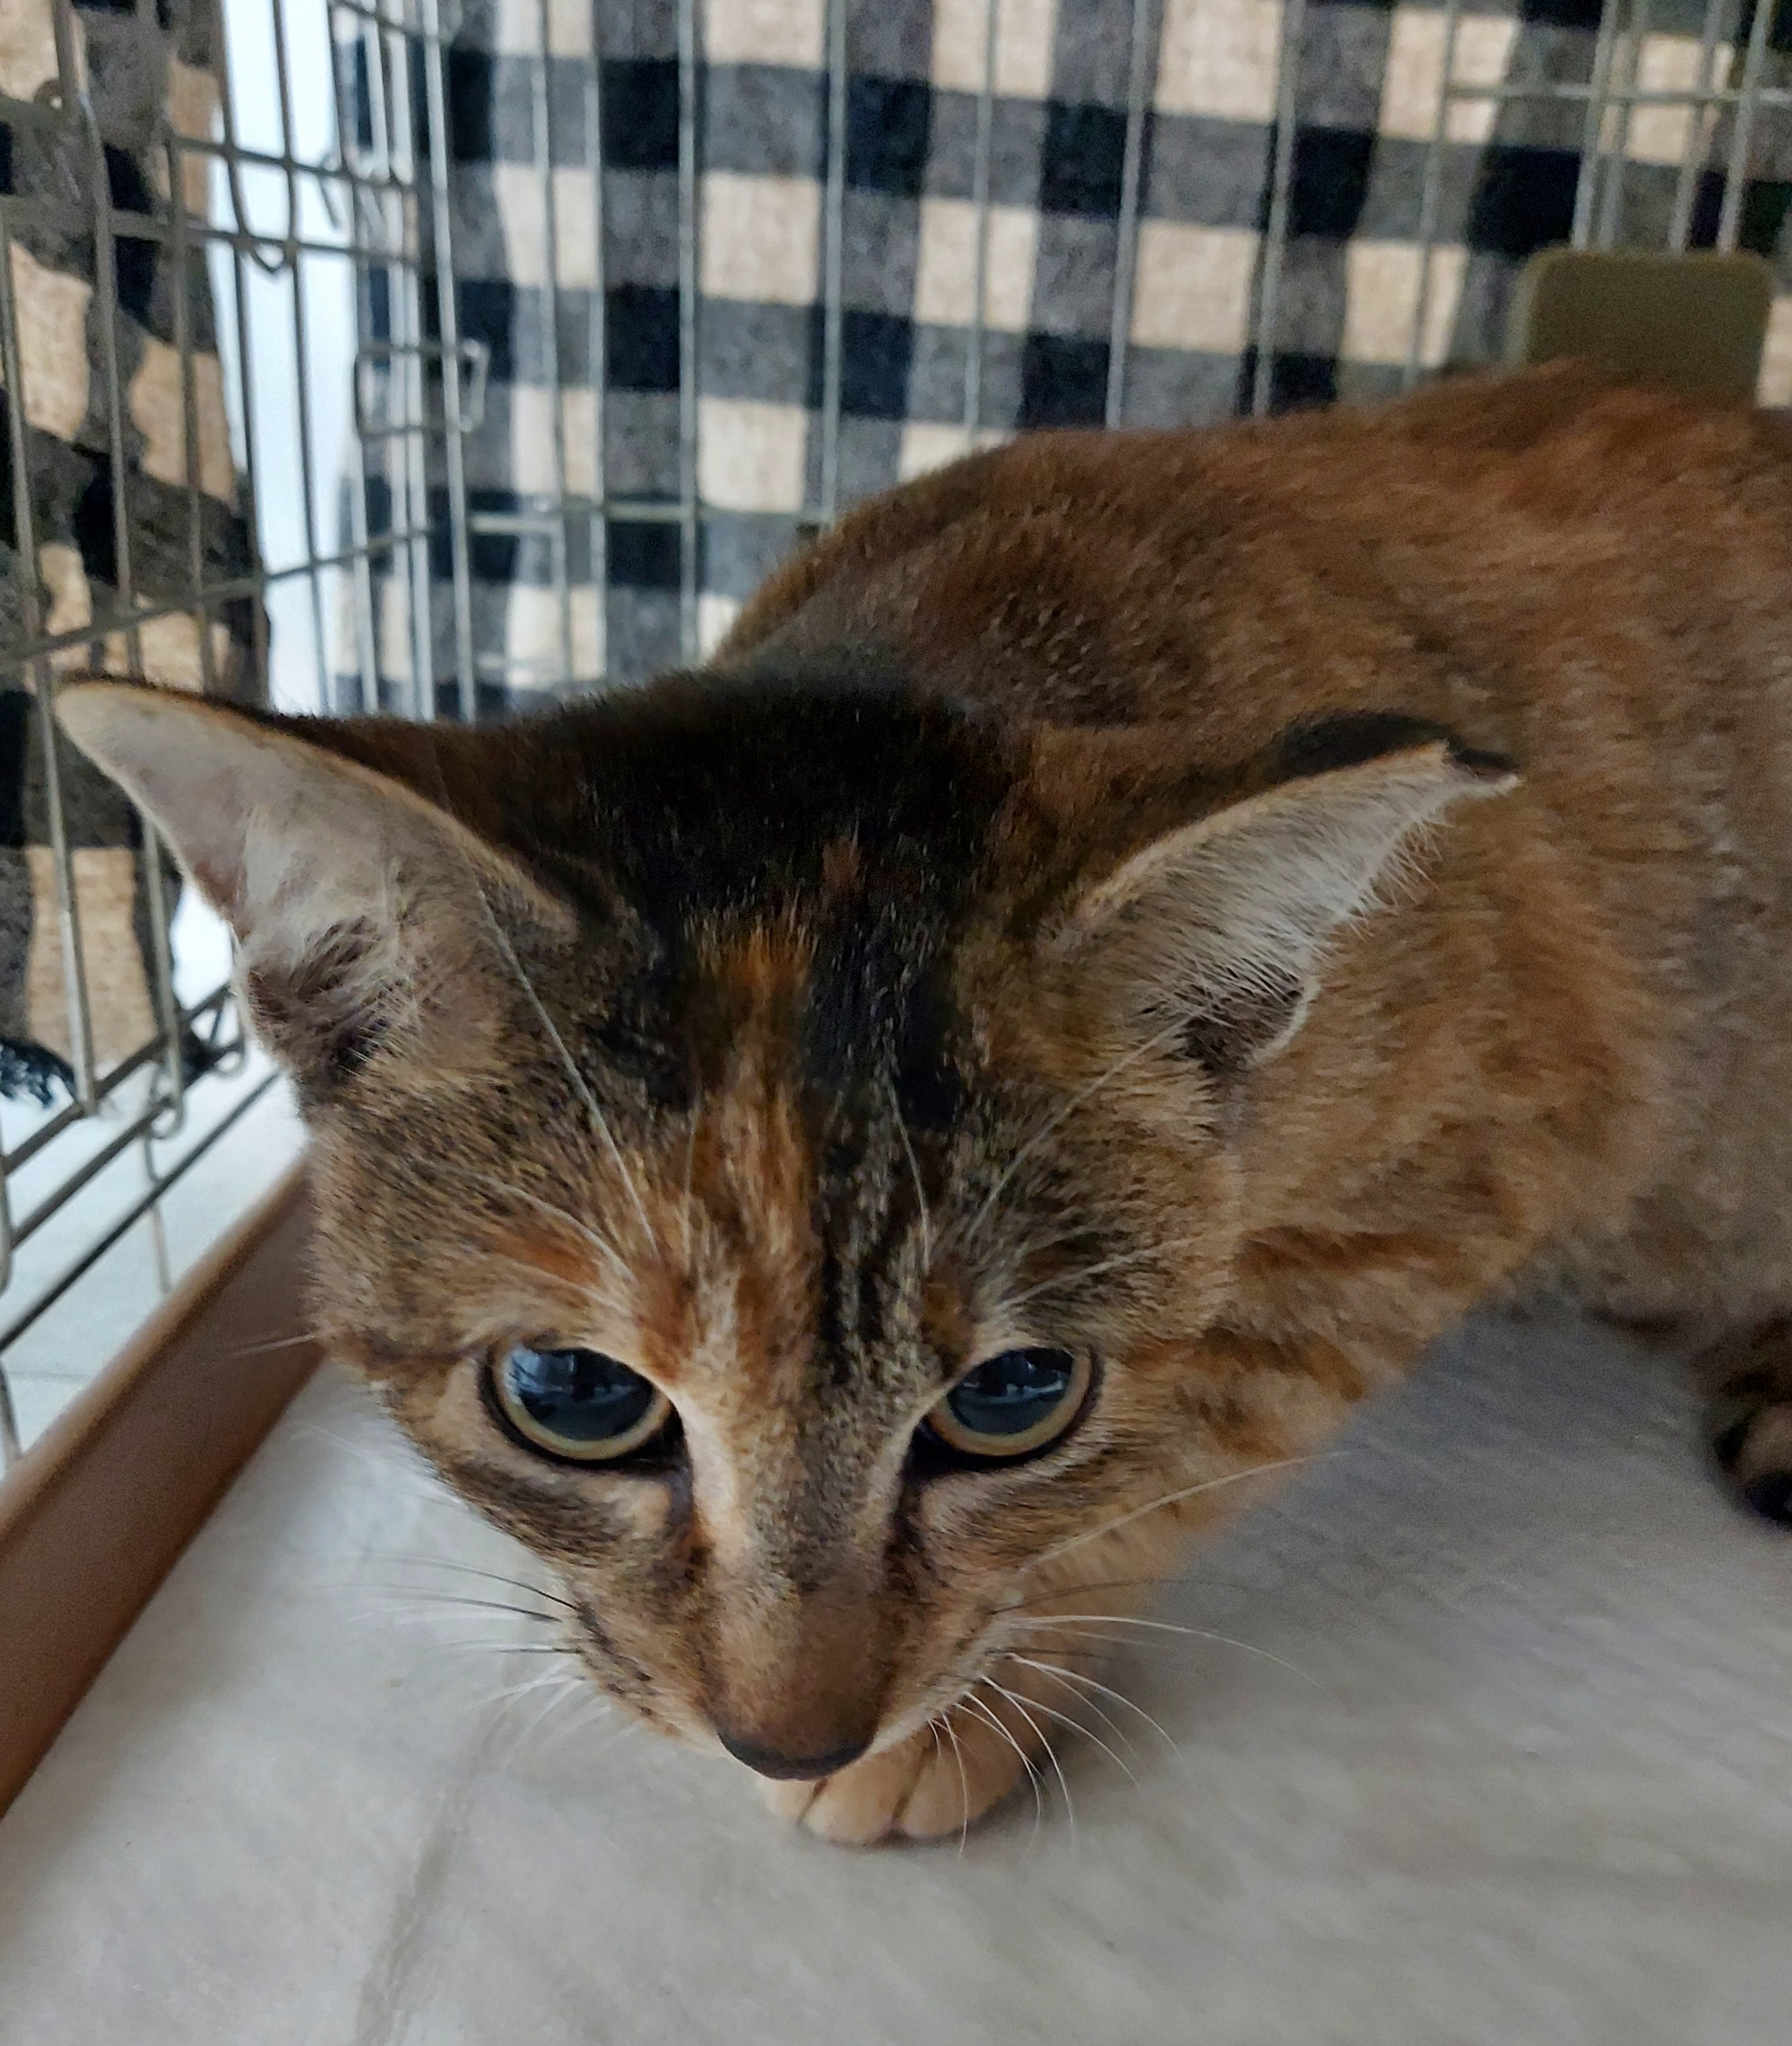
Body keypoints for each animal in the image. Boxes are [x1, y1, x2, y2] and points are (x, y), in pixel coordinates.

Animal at [56, 362, 1792, 1846]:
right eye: (573, 1393)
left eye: (1014, 1396)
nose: (792, 1735)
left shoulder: (1480, 1158)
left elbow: (1177, 1444)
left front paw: (970, 1704)